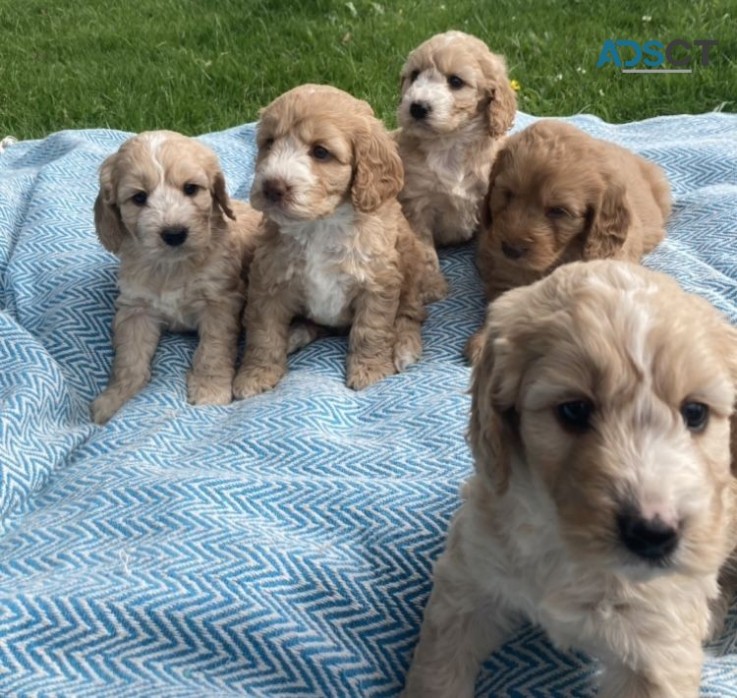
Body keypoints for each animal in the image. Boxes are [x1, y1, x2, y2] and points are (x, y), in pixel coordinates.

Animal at [91, 131, 264, 424]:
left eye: (191, 189)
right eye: (139, 197)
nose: (174, 233)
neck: (171, 267)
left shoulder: (220, 302)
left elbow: (213, 349)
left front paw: (210, 389)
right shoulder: (136, 309)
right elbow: (129, 358)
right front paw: (116, 398)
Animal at [230, 83, 426, 396]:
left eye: (321, 152)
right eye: (269, 142)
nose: (272, 187)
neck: (319, 224)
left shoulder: (377, 283)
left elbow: (371, 330)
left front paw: (371, 371)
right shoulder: (268, 283)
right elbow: (264, 335)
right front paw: (255, 376)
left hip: (412, 267)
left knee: (410, 314)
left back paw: (404, 348)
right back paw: (294, 335)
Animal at [392, 31, 516, 298]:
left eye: (456, 81)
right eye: (414, 75)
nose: (417, 107)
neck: (450, 142)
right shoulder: (416, 205)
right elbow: (424, 252)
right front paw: (430, 286)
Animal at [402, 260, 736, 696]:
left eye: (695, 413)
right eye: (574, 410)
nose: (653, 534)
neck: (567, 546)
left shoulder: (657, 648)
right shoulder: (468, 583)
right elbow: (437, 670)